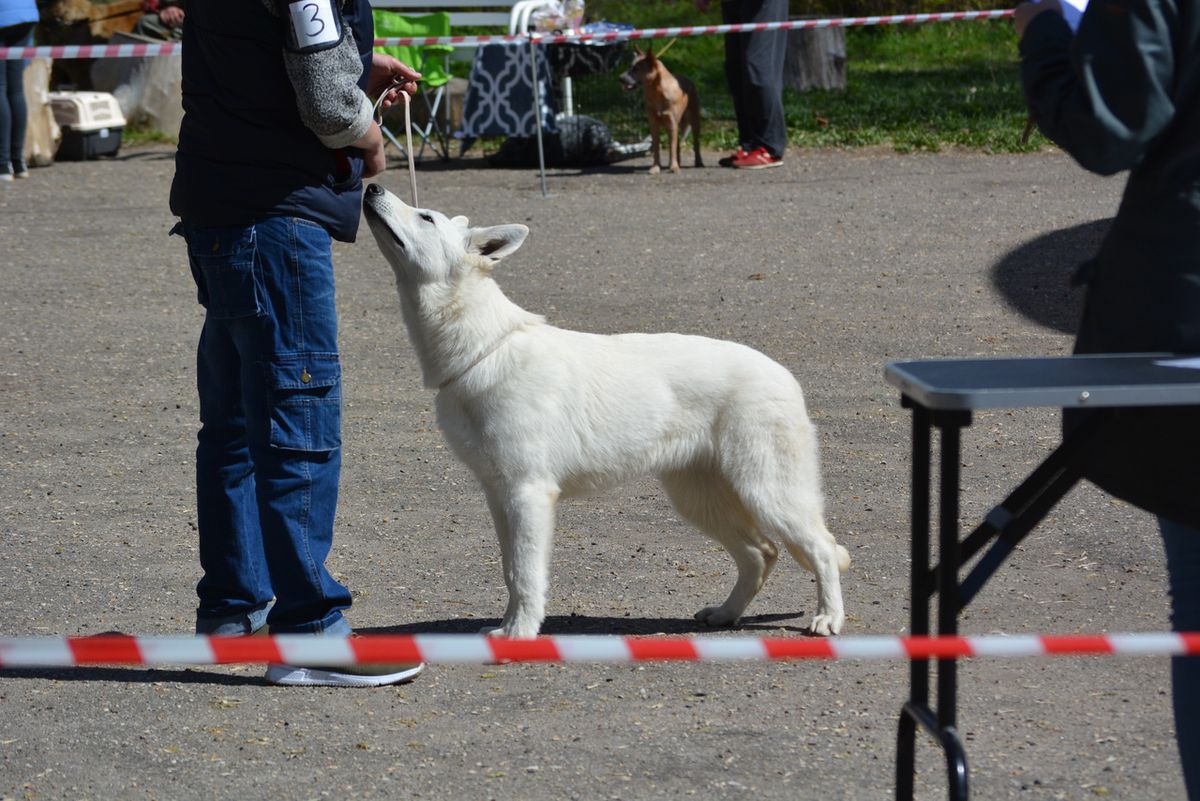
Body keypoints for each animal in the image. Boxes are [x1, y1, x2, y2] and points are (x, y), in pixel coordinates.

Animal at [360, 183, 849, 637]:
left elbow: (525, 573)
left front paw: (518, 633)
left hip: (766, 492)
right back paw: (725, 615)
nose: (371, 186)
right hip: (698, 498)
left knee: (821, 548)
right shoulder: (499, 496)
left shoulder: (527, 493)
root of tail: (785, 376)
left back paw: (828, 618)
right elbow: (510, 570)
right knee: (760, 554)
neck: (483, 348)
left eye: (425, 216)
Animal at [619, 45, 700, 173]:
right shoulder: (654, 124)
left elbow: (672, 147)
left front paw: (674, 167)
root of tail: (687, 78)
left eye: (636, 69)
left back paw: (697, 162)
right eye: (629, 66)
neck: (656, 93)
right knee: (676, 145)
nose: (620, 78)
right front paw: (656, 167)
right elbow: (657, 149)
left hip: (694, 120)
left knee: (696, 143)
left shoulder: (672, 123)